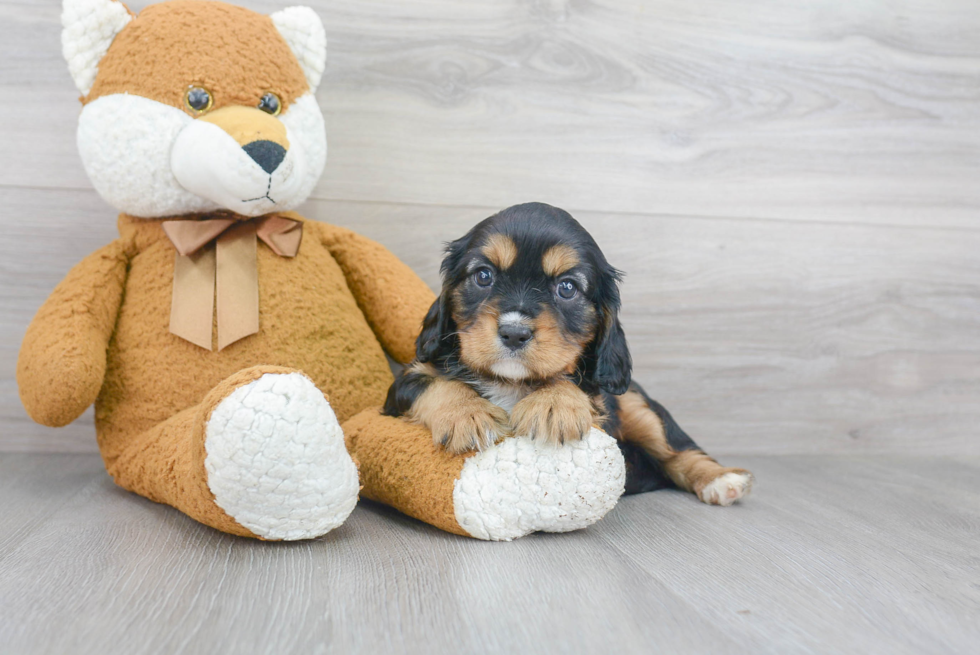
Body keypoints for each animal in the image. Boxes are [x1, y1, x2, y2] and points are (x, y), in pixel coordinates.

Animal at [386, 202, 756, 504]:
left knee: (676, 449)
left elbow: (573, 381)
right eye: (483, 275)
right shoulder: (403, 384)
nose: (514, 332)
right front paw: (468, 414)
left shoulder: (603, 399)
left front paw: (554, 404)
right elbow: (435, 383)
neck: (511, 382)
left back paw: (721, 480)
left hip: (637, 404)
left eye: (567, 288)